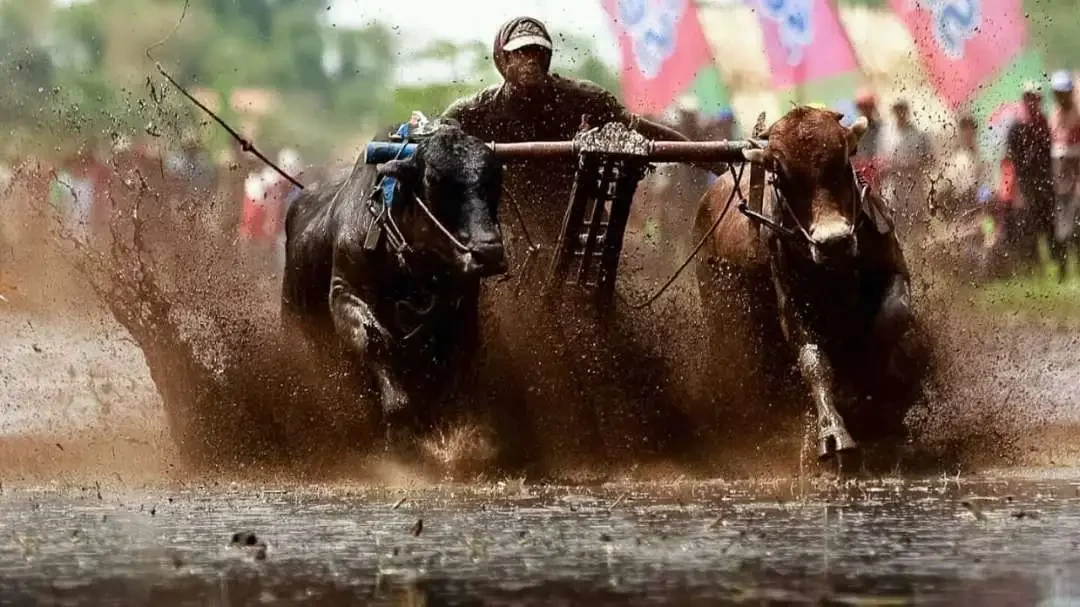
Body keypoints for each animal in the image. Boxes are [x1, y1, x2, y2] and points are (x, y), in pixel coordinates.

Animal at [282, 121, 509, 444]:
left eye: (495, 177)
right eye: (432, 179)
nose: (488, 252)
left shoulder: (463, 312)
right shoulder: (344, 291)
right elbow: (374, 341)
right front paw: (399, 419)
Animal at [695, 106, 915, 457]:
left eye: (843, 161)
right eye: (780, 173)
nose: (833, 242)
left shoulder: (894, 270)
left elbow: (890, 320)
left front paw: (877, 388)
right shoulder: (792, 303)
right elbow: (813, 360)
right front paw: (833, 430)